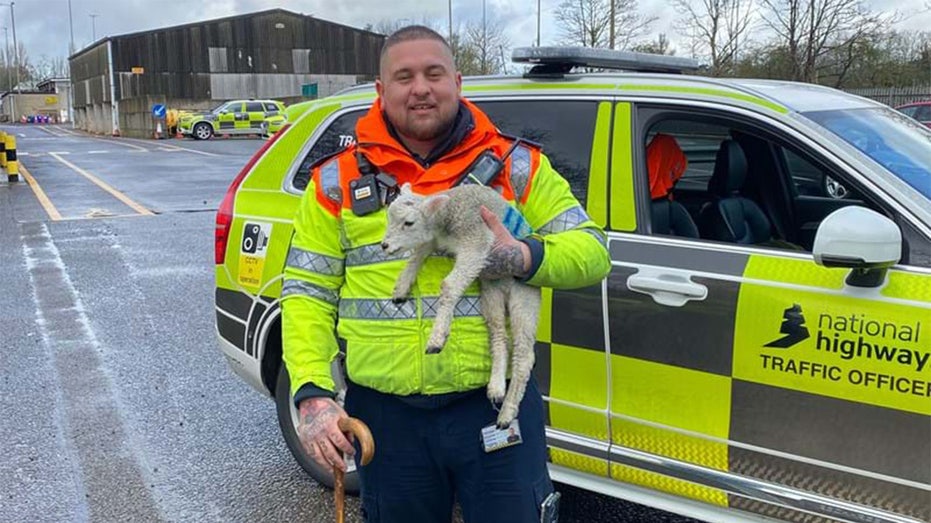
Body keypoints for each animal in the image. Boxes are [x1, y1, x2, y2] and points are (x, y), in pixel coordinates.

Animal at [380, 182, 544, 428]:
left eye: (409, 223)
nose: (384, 245)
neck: (446, 218)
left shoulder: (476, 242)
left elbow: (448, 285)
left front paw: (437, 338)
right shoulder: (437, 240)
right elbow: (418, 254)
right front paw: (401, 286)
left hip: (525, 297)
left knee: (524, 356)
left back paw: (507, 412)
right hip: (491, 292)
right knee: (499, 335)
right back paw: (496, 387)